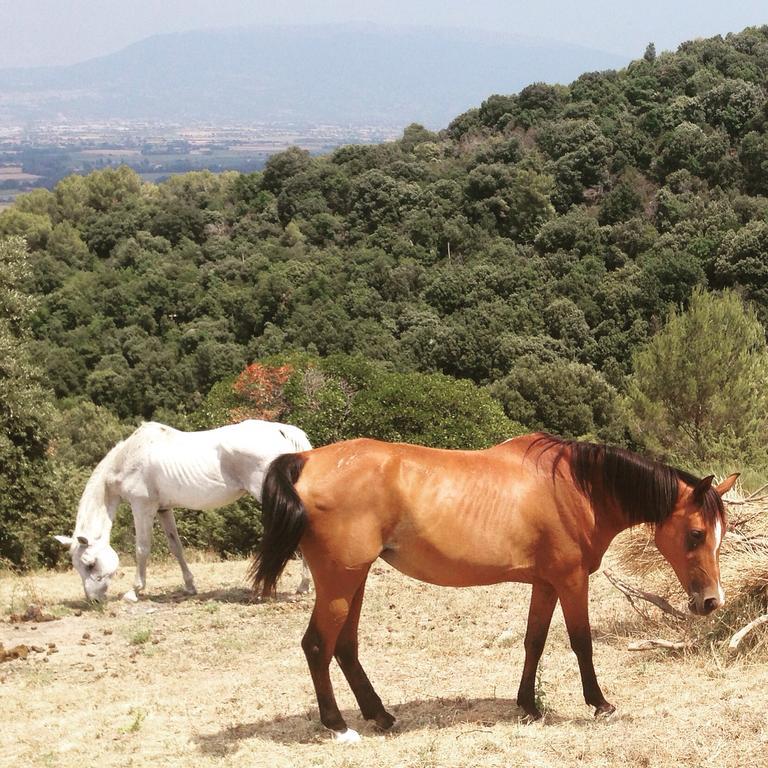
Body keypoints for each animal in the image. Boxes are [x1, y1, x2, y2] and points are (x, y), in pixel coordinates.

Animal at [54, 416, 314, 604]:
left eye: (89, 564)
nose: (93, 601)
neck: (129, 457)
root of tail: (279, 430)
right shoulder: (164, 510)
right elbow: (176, 547)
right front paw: (189, 586)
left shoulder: (143, 507)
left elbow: (142, 549)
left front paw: (134, 591)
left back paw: (301, 586)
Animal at [250, 436, 736, 740]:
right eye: (695, 534)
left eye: (720, 533)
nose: (711, 601)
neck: (574, 488)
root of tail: (306, 461)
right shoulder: (572, 580)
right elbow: (581, 642)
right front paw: (599, 703)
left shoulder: (545, 583)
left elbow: (534, 641)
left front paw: (528, 706)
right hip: (340, 580)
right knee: (318, 645)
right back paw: (337, 724)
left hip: (356, 578)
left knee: (345, 646)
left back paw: (380, 715)